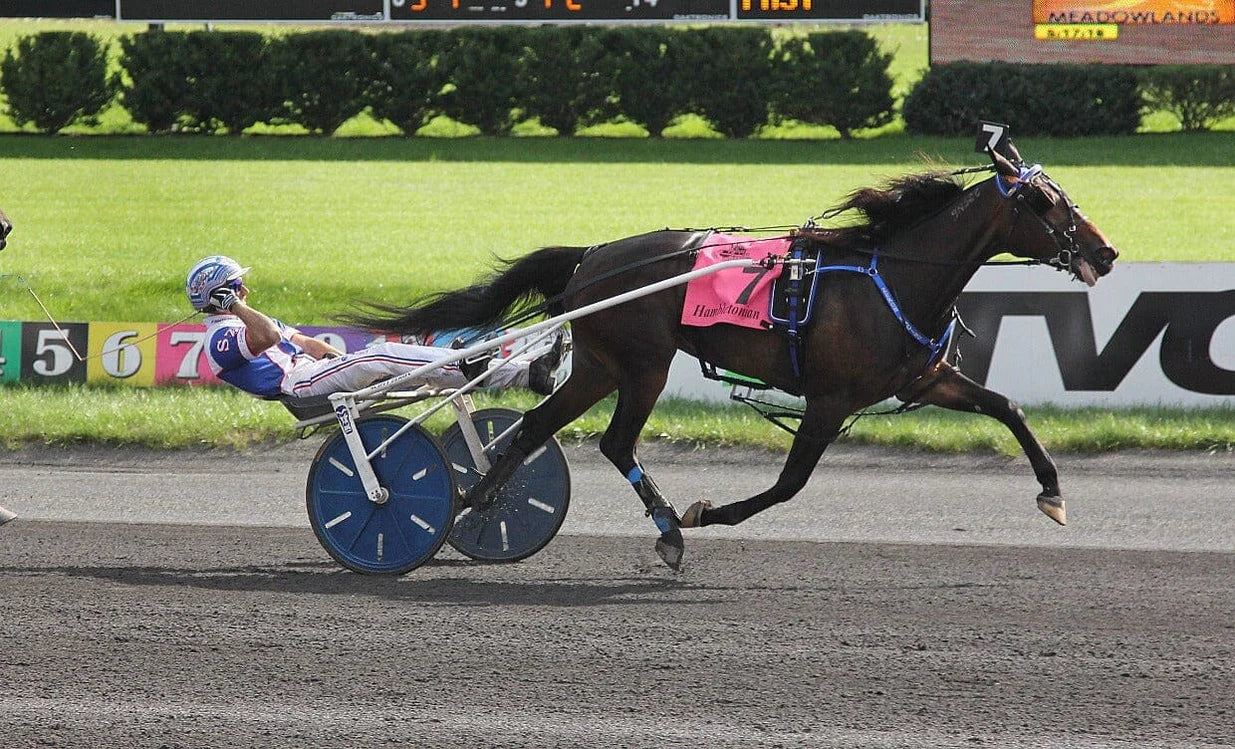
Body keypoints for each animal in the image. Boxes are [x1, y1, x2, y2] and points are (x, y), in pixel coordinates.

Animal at [348, 145, 1121, 568]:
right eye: (1044, 202)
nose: (1107, 251)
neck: (894, 275)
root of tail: (592, 256)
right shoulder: (830, 399)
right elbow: (788, 485)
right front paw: (703, 513)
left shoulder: (924, 379)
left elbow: (1007, 407)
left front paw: (1052, 493)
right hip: (643, 364)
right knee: (614, 440)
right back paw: (664, 526)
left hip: (601, 364)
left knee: (540, 427)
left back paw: (480, 498)